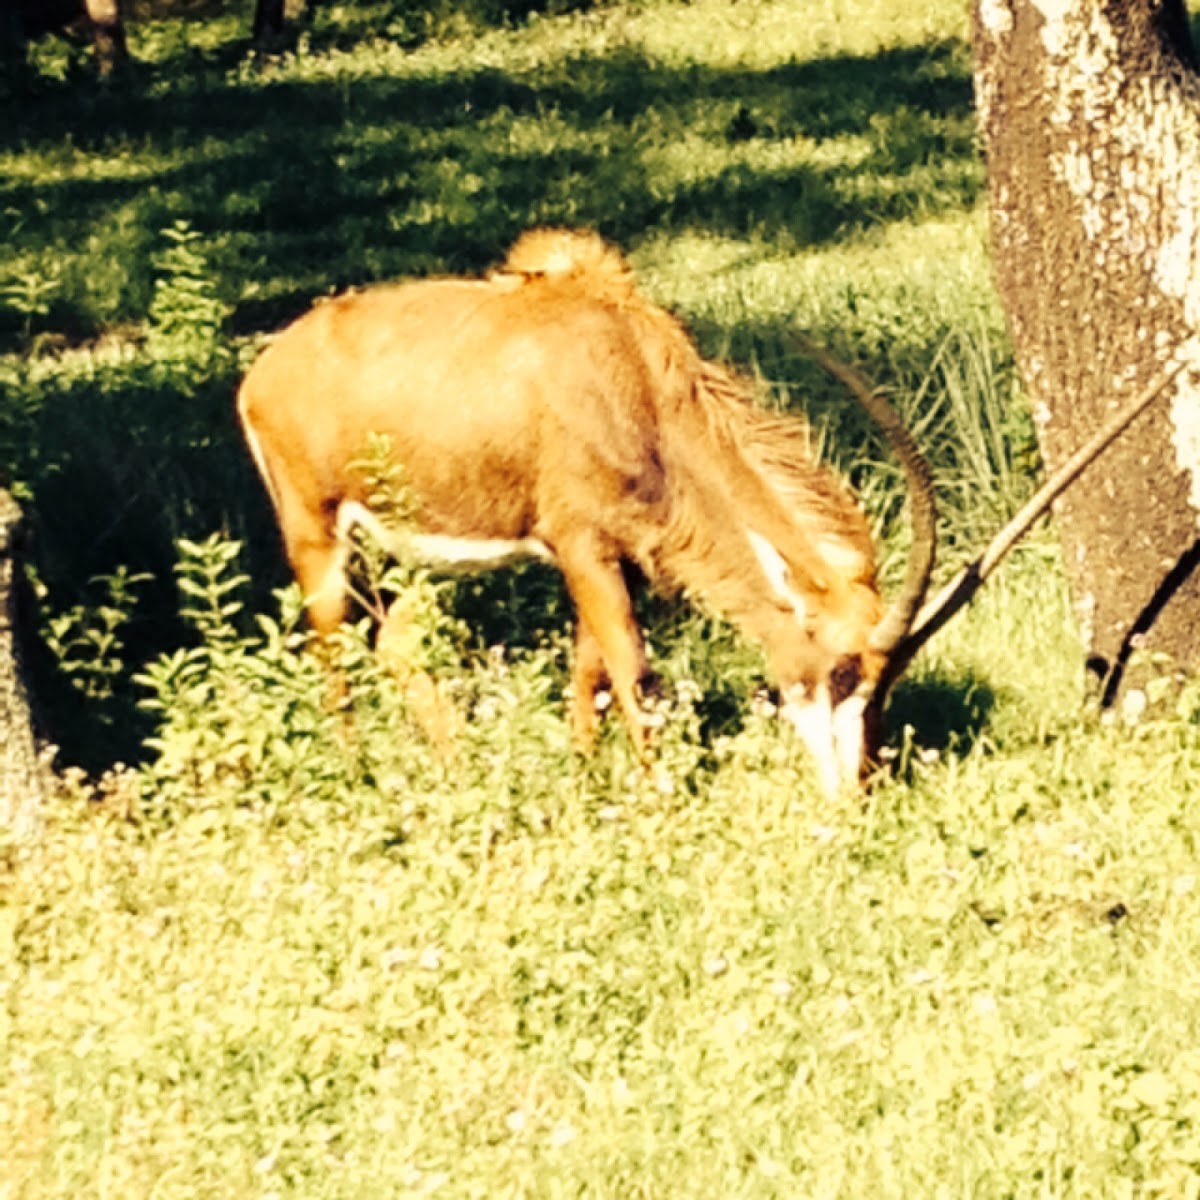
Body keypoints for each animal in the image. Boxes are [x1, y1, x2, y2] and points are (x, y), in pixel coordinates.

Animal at [234, 228, 1180, 792]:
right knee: (332, 645)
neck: (634, 384)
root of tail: (263, 371)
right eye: (842, 671)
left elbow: (591, 669)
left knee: (392, 638)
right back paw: (361, 774)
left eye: (883, 687)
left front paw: (586, 780)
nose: (857, 792)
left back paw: (456, 766)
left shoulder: (616, 555)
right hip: (317, 537)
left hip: (387, 550)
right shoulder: (580, 545)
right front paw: (657, 798)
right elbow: (635, 673)